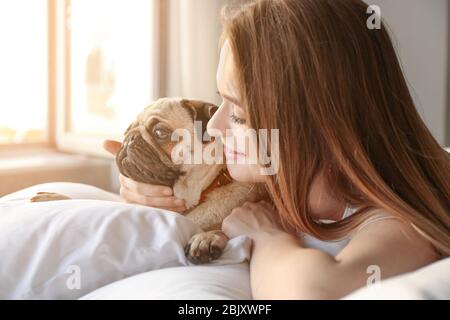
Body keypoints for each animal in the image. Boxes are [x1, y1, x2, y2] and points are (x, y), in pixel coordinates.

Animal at [31, 98, 266, 264]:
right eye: (126, 131)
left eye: (160, 132)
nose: (129, 139)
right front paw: (56, 197)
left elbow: (224, 228)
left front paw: (207, 237)